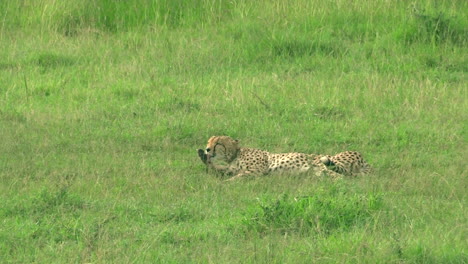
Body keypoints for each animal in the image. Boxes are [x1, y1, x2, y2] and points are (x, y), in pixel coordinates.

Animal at [196, 135, 372, 180]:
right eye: (209, 141)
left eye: (218, 142)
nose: (207, 148)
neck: (234, 155)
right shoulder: (230, 169)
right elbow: (220, 170)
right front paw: (204, 157)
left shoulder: (257, 170)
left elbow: (237, 177)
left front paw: (224, 185)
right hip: (318, 172)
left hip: (325, 165)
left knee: (343, 178)